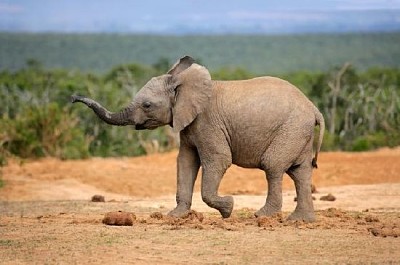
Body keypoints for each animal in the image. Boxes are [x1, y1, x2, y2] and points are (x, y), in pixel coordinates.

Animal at [72, 55, 324, 221]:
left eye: (147, 105)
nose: (73, 98)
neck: (182, 83)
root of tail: (314, 108)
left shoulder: (207, 123)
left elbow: (218, 160)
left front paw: (228, 209)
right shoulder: (189, 125)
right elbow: (185, 161)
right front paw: (174, 217)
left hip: (291, 129)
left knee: (273, 166)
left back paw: (261, 216)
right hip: (298, 132)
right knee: (300, 172)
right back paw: (300, 221)